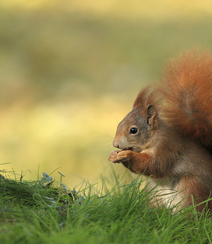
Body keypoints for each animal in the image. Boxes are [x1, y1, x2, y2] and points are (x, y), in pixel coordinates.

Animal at [108, 50, 212, 212]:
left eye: (133, 130)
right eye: (119, 124)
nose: (116, 144)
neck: (154, 137)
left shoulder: (166, 147)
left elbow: (154, 165)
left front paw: (127, 155)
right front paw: (114, 155)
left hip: (192, 189)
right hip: (154, 194)